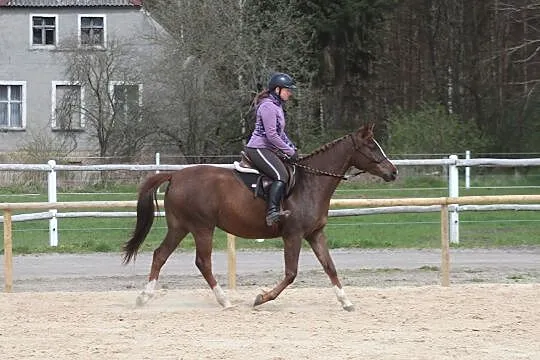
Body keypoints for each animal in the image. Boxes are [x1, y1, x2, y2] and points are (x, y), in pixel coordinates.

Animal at [124, 124, 398, 310]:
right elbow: (291, 273)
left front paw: (346, 301)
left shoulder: (315, 234)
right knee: (202, 262)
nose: (393, 172)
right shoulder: (293, 235)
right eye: (371, 146)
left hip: (180, 227)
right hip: (202, 228)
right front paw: (262, 298)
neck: (311, 183)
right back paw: (224, 300)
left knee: (160, 255)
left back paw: (144, 297)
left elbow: (330, 267)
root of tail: (176, 175)